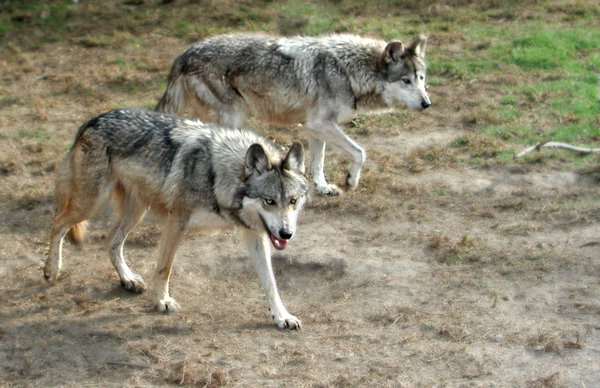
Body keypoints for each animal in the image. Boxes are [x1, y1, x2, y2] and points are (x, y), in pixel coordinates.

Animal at [42, 107, 310, 328]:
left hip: (135, 212)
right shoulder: (176, 221)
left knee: (110, 240)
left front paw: (281, 316)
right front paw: (162, 301)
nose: (287, 233)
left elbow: (270, 283)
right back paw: (51, 271)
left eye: (293, 201)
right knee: (57, 223)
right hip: (91, 204)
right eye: (269, 201)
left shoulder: (255, 234)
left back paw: (128, 279)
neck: (216, 175)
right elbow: (164, 268)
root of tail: (92, 120)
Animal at [155, 32, 426, 197]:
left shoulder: (314, 128)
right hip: (232, 118)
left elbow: (318, 163)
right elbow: (360, 152)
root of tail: (184, 55)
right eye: (406, 81)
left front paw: (323, 188)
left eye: (422, 79)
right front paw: (351, 181)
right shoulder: (322, 124)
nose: (427, 103)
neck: (349, 71)